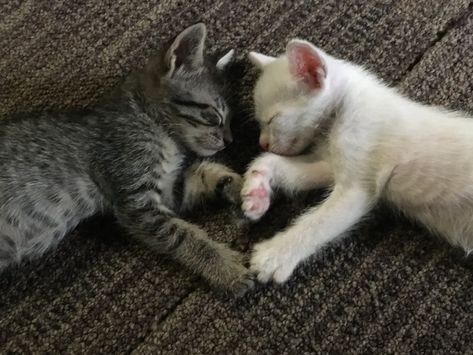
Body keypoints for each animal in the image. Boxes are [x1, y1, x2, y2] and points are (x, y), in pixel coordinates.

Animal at [0, 24, 254, 294]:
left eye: (231, 120)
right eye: (214, 116)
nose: (229, 140)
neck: (149, 121)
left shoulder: (167, 193)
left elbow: (205, 171)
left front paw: (244, 186)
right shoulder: (136, 200)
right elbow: (185, 237)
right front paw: (227, 270)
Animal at [243, 39, 473, 284]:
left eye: (273, 119)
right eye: (260, 122)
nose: (263, 143)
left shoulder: (356, 189)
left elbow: (318, 224)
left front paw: (274, 256)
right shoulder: (330, 166)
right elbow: (286, 169)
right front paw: (257, 189)